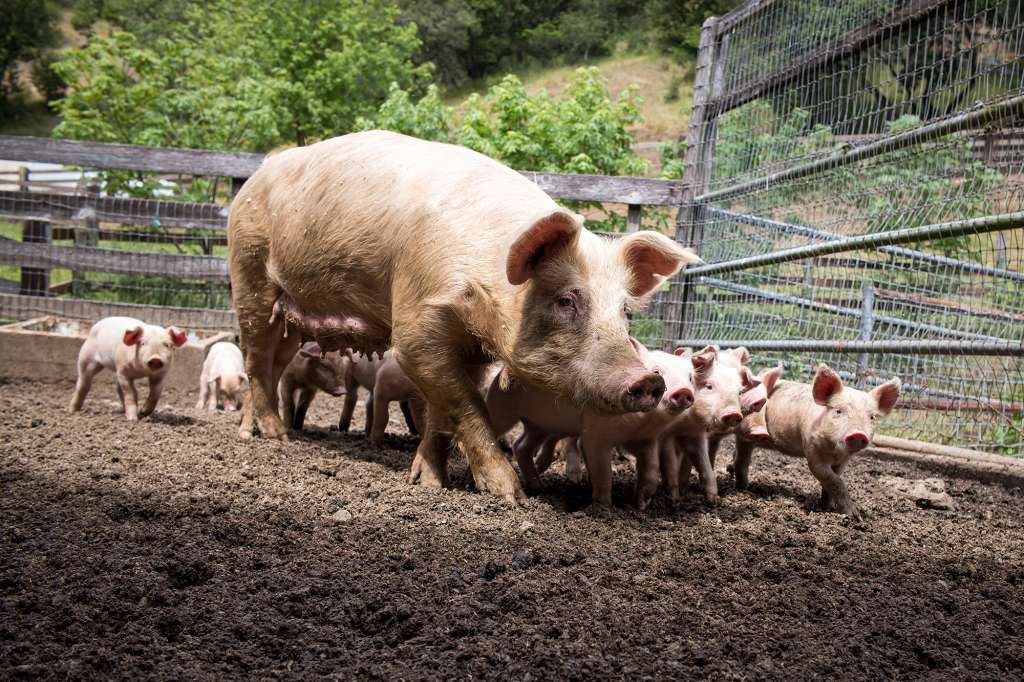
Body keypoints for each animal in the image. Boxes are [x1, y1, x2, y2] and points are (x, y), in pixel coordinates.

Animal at [485, 339, 696, 507]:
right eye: (657, 371)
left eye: (690, 377)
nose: (684, 391)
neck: (642, 424)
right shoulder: (596, 433)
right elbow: (603, 472)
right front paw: (603, 507)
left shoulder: (647, 439)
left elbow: (651, 470)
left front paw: (641, 505)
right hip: (502, 406)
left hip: (538, 425)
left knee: (521, 445)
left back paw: (538, 486)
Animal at [732, 364, 901, 520]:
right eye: (838, 411)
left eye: (872, 417)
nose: (858, 434)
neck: (835, 452)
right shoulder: (813, 452)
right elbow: (834, 481)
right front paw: (854, 517)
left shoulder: (843, 461)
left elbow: (832, 482)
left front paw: (827, 507)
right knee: (742, 459)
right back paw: (744, 488)